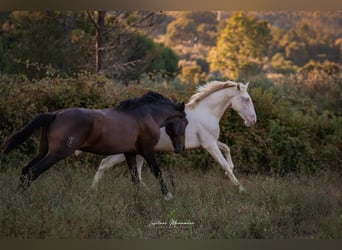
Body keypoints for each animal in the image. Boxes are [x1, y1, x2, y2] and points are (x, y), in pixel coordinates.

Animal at [2, 91, 187, 199]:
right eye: (185, 122)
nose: (180, 148)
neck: (146, 115)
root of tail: (55, 114)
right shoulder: (147, 151)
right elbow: (157, 172)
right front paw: (168, 196)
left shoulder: (130, 153)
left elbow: (135, 179)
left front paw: (139, 200)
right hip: (56, 154)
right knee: (33, 171)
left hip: (44, 151)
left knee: (25, 170)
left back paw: (17, 197)